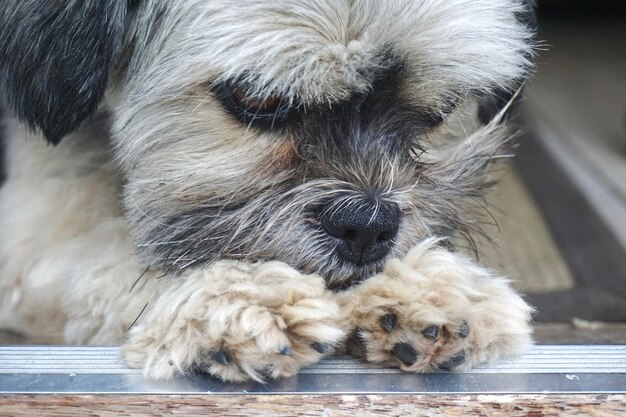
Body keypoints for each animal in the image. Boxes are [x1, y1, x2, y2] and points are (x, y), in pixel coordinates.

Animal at [1, 1, 536, 382]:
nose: (367, 226)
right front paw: (241, 295)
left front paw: (426, 289)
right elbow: (112, 256)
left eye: (441, 108)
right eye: (256, 97)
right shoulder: (29, 235)